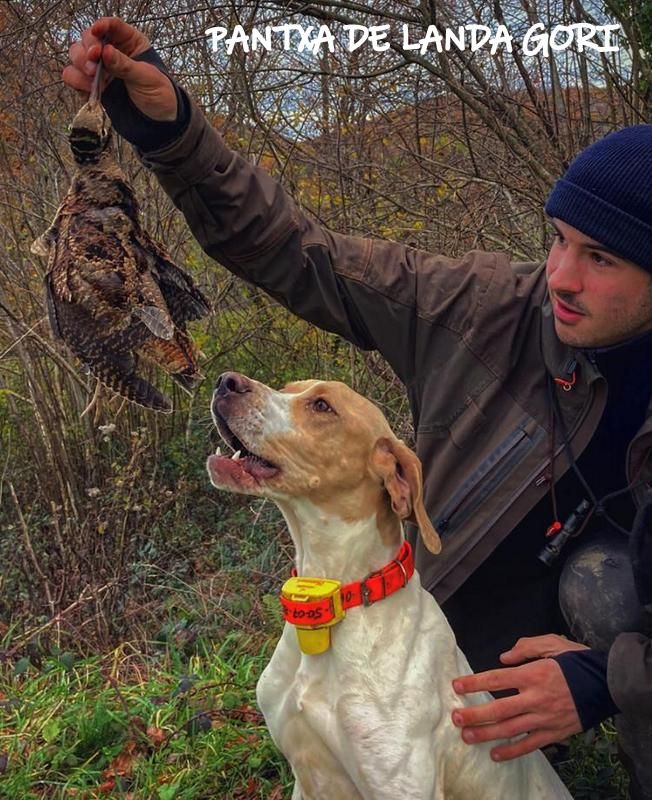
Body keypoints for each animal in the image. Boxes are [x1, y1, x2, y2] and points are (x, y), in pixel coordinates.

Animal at [206, 374, 572, 800]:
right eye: (287, 388)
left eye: (322, 406)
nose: (225, 381)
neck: (344, 597)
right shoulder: (306, 778)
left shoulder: (399, 785)